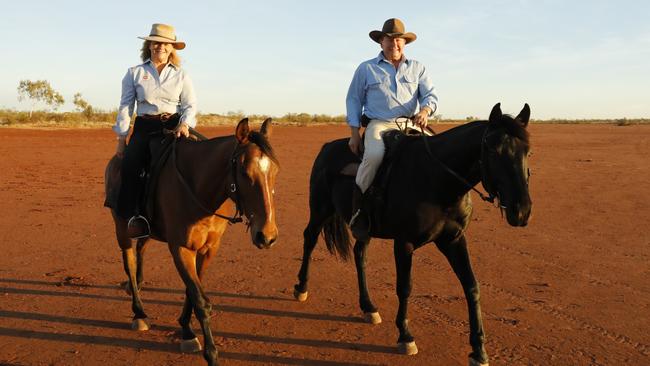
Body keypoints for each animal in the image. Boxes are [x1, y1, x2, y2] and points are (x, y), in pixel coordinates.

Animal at [104, 118, 278, 364]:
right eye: (244, 172)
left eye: (275, 171)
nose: (267, 235)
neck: (199, 189)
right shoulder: (181, 248)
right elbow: (201, 300)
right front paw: (209, 352)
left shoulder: (209, 249)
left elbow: (191, 291)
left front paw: (186, 329)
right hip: (121, 228)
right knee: (129, 262)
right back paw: (139, 313)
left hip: (146, 230)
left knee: (140, 251)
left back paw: (136, 283)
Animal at [292, 103, 528, 366]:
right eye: (492, 150)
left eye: (527, 150)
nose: (521, 211)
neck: (437, 180)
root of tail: (326, 147)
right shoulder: (404, 243)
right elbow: (405, 287)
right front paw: (405, 336)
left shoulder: (453, 240)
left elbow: (472, 286)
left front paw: (479, 350)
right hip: (320, 209)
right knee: (309, 239)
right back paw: (301, 288)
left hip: (363, 229)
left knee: (359, 255)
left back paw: (368, 307)